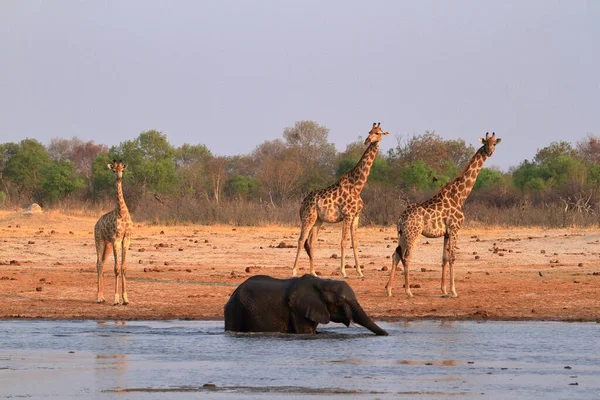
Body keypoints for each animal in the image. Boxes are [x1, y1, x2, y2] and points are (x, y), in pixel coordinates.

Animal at [94, 161, 134, 304]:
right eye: (113, 170)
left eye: (122, 169)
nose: (119, 177)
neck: (122, 212)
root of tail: (96, 223)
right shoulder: (116, 239)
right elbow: (116, 268)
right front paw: (116, 299)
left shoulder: (126, 239)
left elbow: (123, 267)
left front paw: (126, 298)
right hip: (99, 240)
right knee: (99, 263)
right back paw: (99, 297)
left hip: (108, 245)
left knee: (102, 263)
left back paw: (102, 297)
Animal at [292, 122, 392, 278]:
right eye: (369, 132)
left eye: (377, 133)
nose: (367, 140)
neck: (357, 186)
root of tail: (302, 204)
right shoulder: (347, 215)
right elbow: (344, 242)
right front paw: (344, 272)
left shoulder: (356, 216)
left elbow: (355, 243)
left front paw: (360, 272)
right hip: (308, 218)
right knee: (301, 240)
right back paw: (294, 271)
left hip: (318, 220)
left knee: (311, 242)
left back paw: (313, 272)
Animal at [386, 134, 500, 296]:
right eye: (485, 143)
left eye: (494, 143)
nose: (489, 152)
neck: (460, 196)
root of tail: (400, 218)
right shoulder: (454, 228)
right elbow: (452, 257)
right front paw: (453, 291)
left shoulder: (446, 233)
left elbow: (444, 258)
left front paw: (444, 290)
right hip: (413, 233)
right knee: (406, 257)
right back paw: (408, 291)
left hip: (402, 234)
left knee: (396, 255)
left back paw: (389, 290)